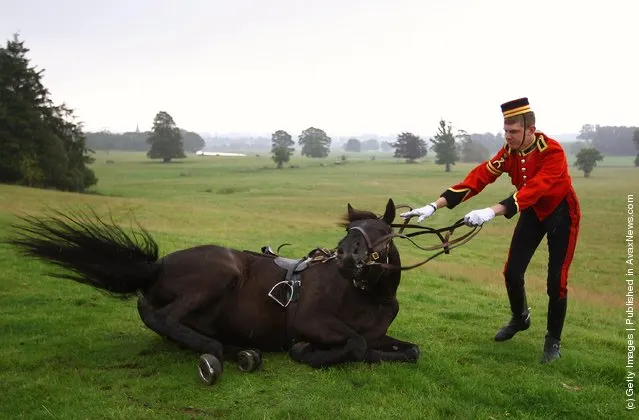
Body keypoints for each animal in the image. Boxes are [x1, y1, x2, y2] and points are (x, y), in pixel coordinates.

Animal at [8, 199, 424, 386]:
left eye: (383, 234)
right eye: (349, 233)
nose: (347, 260)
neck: (367, 295)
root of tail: (156, 267)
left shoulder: (379, 333)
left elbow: (407, 351)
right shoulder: (311, 320)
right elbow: (354, 343)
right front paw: (310, 353)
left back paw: (238, 350)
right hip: (221, 272)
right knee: (165, 319)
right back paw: (220, 354)